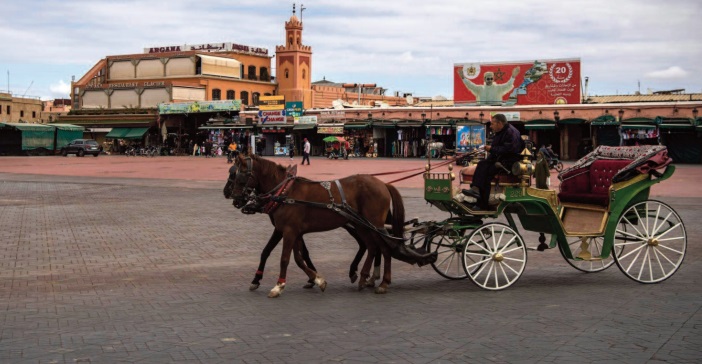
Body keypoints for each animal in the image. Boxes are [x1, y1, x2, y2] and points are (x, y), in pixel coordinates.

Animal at [226, 155, 434, 298]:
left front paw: (279, 286)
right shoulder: (290, 230)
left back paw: (382, 282)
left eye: (240, 174)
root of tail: (383, 183)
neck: (285, 192)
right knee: (373, 247)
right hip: (363, 226)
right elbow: (297, 258)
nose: (235, 198)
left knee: (383, 248)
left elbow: (285, 259)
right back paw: (365, 277)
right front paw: (317, 279)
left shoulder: (289, 231)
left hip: (374, 224)